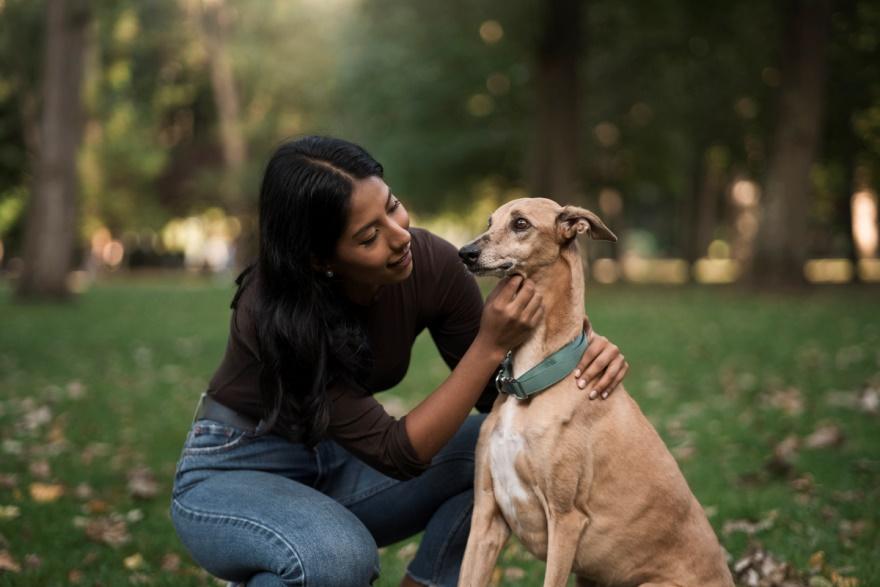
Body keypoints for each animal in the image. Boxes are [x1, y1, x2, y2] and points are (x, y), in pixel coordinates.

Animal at [458, 199, 732, 587]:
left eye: (521, 224)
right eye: (489, 221)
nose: (464, 253)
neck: (530, 383)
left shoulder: (566, 519)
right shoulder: (486, 515)